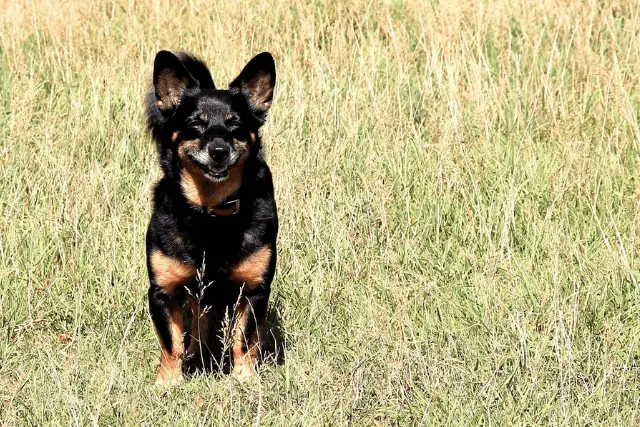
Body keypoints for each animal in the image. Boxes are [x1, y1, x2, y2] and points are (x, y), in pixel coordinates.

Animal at [145, 50, 278, 384]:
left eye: (236, 125)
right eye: (195, 124)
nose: (219, 150)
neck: (211, 214)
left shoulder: (254, 289)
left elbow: (243, 339)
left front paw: (245, 379)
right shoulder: (163, 291)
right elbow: (172, 343)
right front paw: (168, 382)